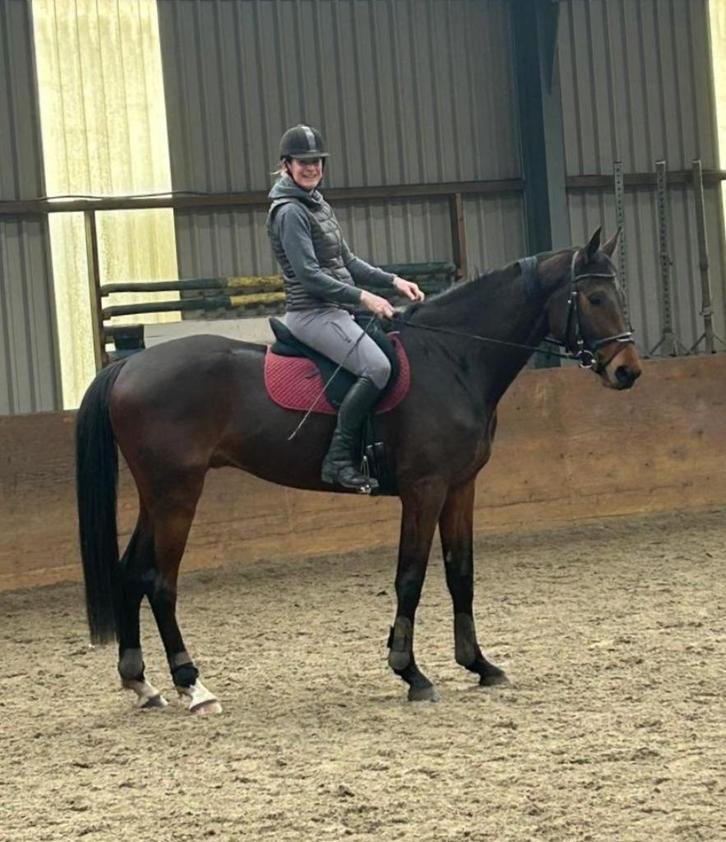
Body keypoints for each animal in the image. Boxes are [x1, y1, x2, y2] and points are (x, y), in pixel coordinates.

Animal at [76, 228, 641, 714]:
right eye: (594, 299)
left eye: (619, 292)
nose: (628, 371)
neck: (452, 356)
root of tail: (127, 365)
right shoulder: (424, 489)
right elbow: (410, 575)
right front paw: (411, 672)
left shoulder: (461, 486)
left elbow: (460, 572)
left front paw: (479, 665)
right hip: (177, 493)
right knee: (160, 582)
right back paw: (192, 685)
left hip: (159, 495)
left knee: (131, 572)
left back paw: (142, 682)